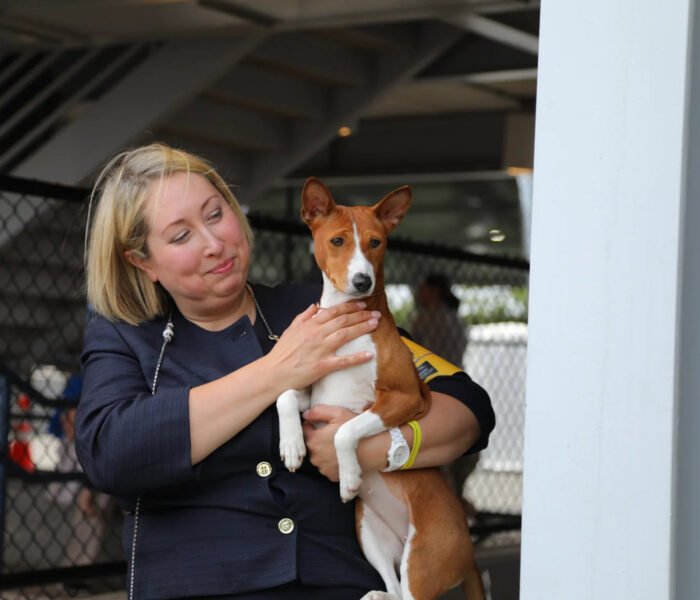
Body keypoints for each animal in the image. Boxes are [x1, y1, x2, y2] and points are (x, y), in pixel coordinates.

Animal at [276, 178, 484, 600]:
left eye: (376, 242)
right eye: (338, 241)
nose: (362, 281)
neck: (346, 324)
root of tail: (470, 552)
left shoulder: (406, 398)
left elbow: (344, 429)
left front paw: (349, 476)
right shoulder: (312, 393)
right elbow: (285, 394)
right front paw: (291, 445)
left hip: (421, 559)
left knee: (411, 593)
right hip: (369, 533)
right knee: (392, 588)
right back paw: (376, 594)